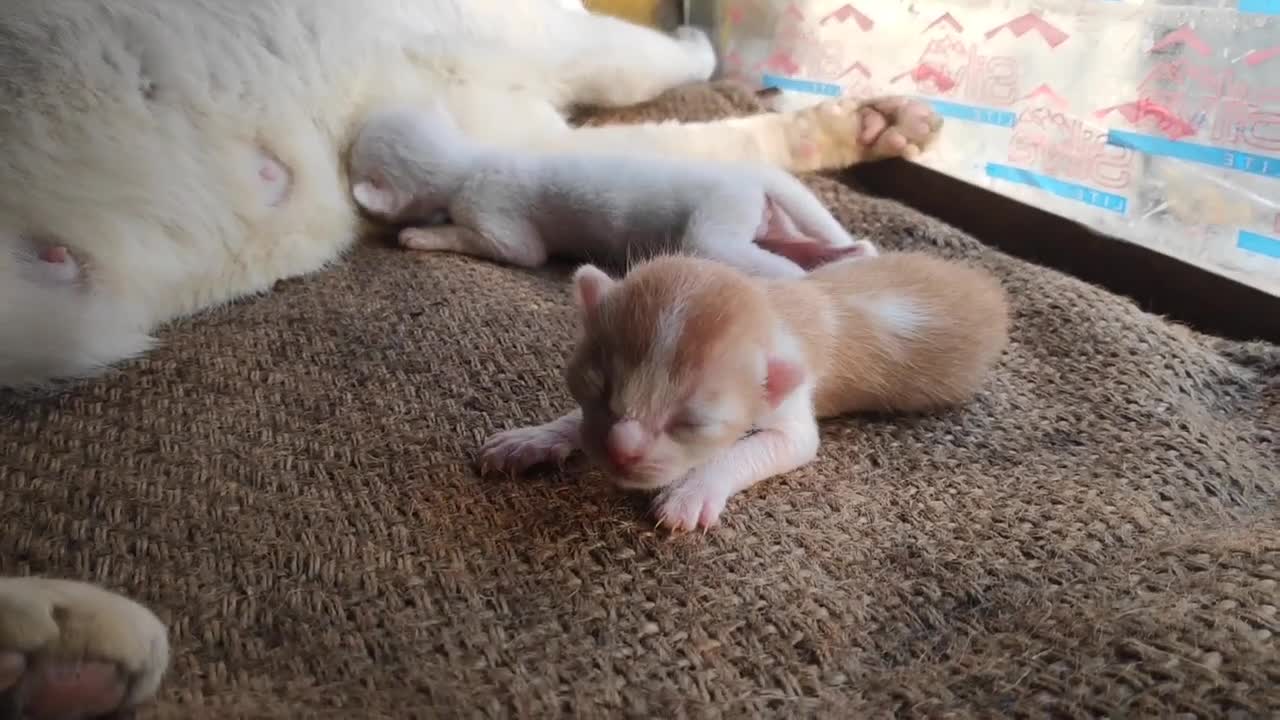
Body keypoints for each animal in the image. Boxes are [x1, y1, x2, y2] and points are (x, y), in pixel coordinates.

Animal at [345, 103, 875, 278]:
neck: (468, 158)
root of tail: (754, 177)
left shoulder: (495, 217)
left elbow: (511, 249)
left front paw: (420, 235)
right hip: (772, 218)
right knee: (807, 244)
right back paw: (843, 255)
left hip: (715, 230)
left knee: (773, 265)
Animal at [481, 251, 1008, 527]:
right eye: (597, 390)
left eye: (692, 423)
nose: (620, 451)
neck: (771, 305)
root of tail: (986, 282)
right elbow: (572, 422)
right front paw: (533, 438)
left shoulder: (793, 405)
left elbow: (766, 447)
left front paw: (693, 491)